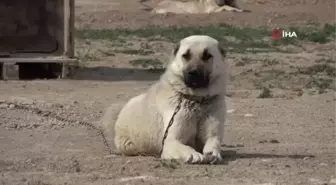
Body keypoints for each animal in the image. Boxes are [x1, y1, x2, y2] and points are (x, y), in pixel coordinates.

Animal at [102, 35, 228, 164]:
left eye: (207, 56)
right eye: (186, 55)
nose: (193, 73)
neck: (197, 100)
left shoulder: (213, 135)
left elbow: (214, 142)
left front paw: (213, 154)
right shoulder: (170, 141)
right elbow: (185, 147)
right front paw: (194, 154)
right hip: (129, 145)